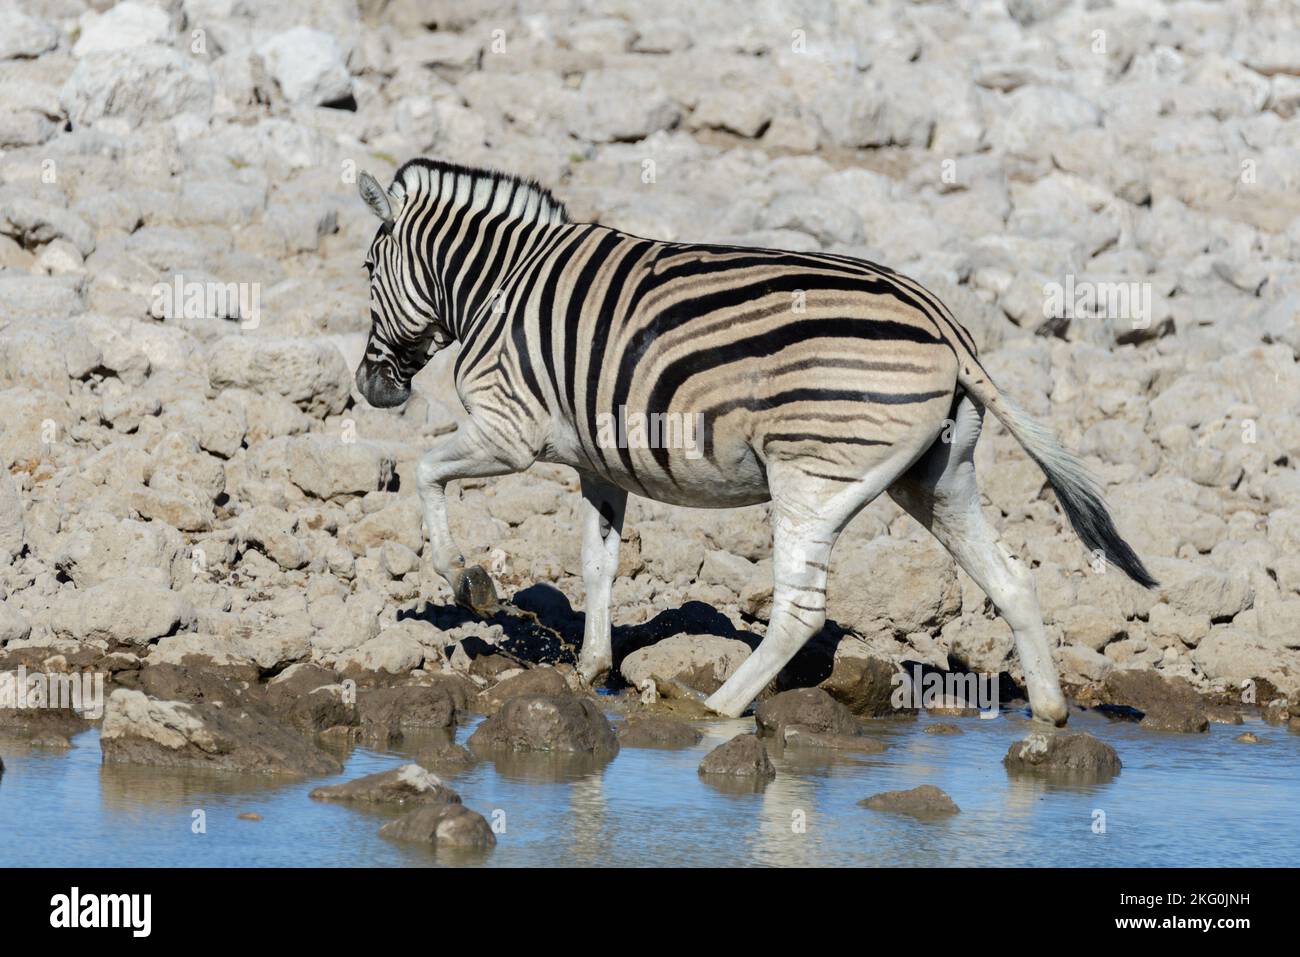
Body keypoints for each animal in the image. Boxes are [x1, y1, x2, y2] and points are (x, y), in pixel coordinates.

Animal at [353, 158, 1156, 725]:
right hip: (936, 478)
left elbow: (424, 471)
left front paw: (465, 581)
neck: (497, 283)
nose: (370, 388)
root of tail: (946, 325)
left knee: (800, 612)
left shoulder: (507, 429)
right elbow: (597, 565)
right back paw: (1050, 712)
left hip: (810, 478)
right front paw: (589, 668)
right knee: (1012, 580)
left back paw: (717, 707)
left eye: (364, 269)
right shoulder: (598, 463)